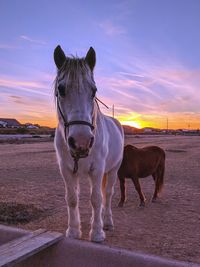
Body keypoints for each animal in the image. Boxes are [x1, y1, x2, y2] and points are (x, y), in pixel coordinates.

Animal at [54, 45, 124, 243]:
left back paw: (106, 222)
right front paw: (73, 231)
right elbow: (72, 198)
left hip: (113, 169)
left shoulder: (98, 169)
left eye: (94, 91)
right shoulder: (66, 170)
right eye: (61, 89)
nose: (81, 140)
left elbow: (97, 199)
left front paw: (98, 233)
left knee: (107, 194)